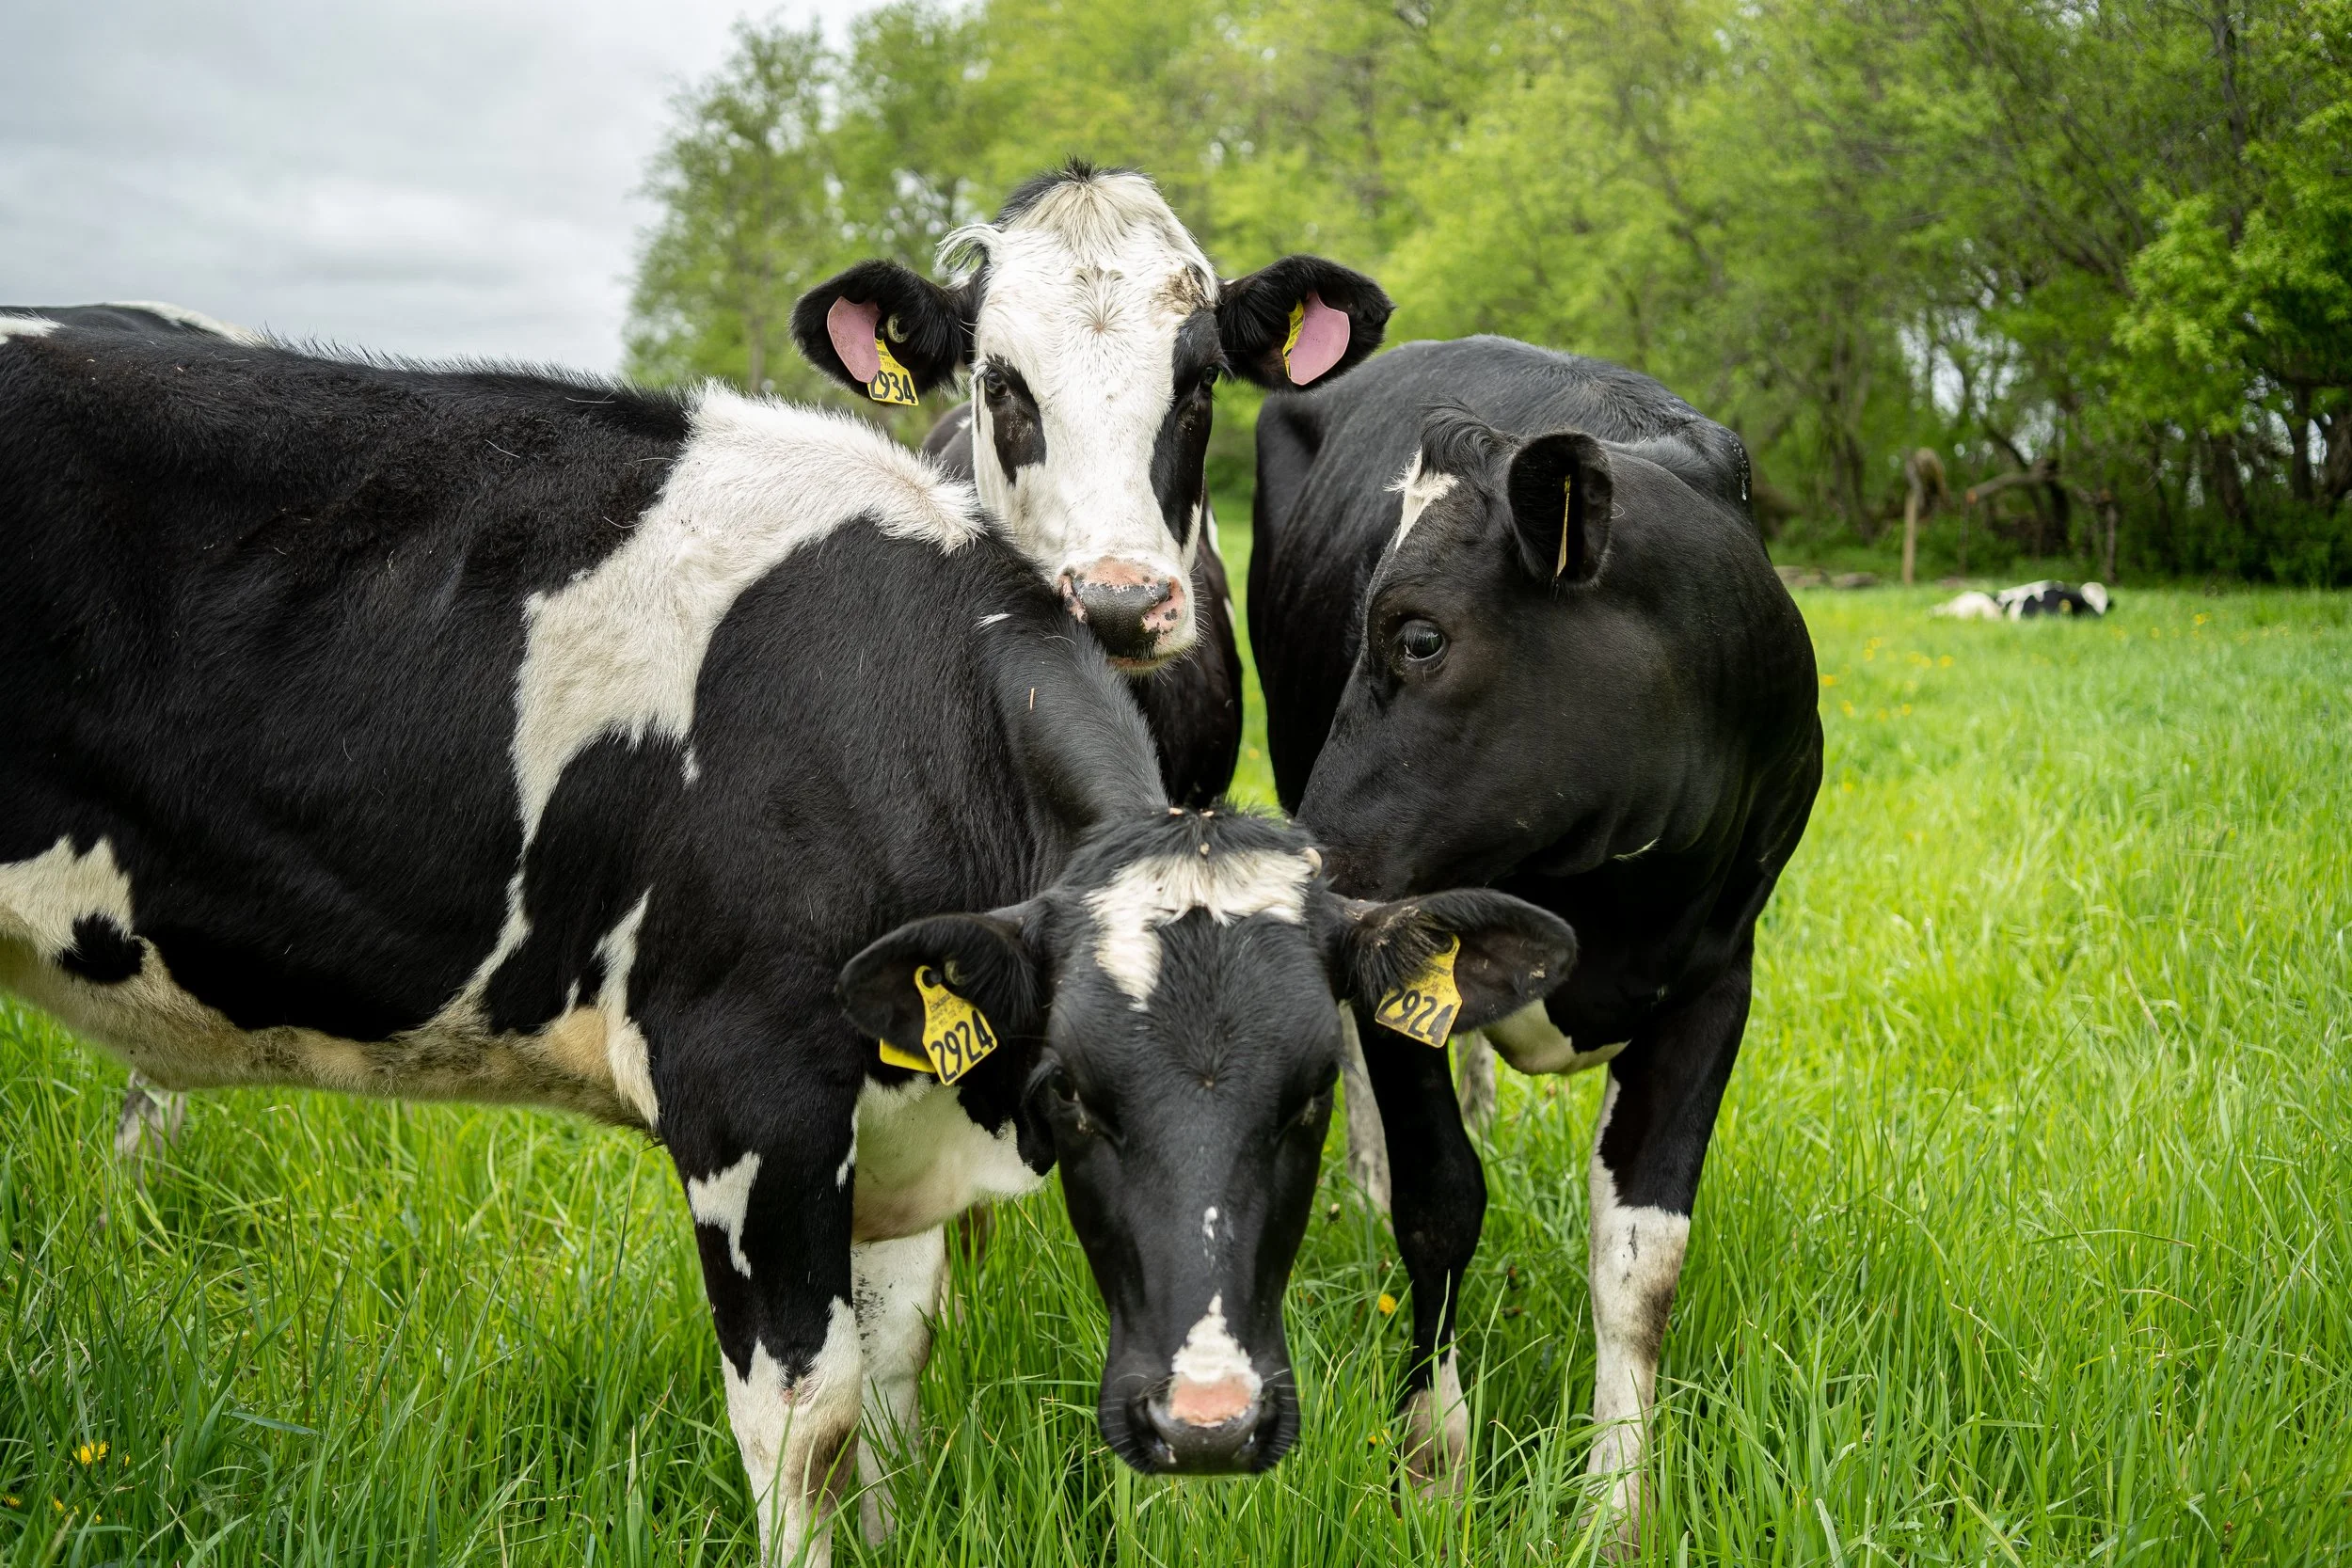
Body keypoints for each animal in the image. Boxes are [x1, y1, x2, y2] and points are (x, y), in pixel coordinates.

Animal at [0, 314, 1576, 1563]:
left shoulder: (891, 1099)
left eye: (1310, 1097)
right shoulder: (746, 1096)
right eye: (1076, 1096)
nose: (1208, 1422)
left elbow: (890, 1377)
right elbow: (807, 1424)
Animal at [1248, 336, 1823, 1552]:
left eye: (1418, 634)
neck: (1618, 889)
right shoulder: (1398, 948)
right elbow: (1438, 1205)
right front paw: (1431, 1469)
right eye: (1360, 620)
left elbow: (1641, 1261)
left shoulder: (1717, 982)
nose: (1312, 868)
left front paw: (1615, 1507)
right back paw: (1361, 1174)